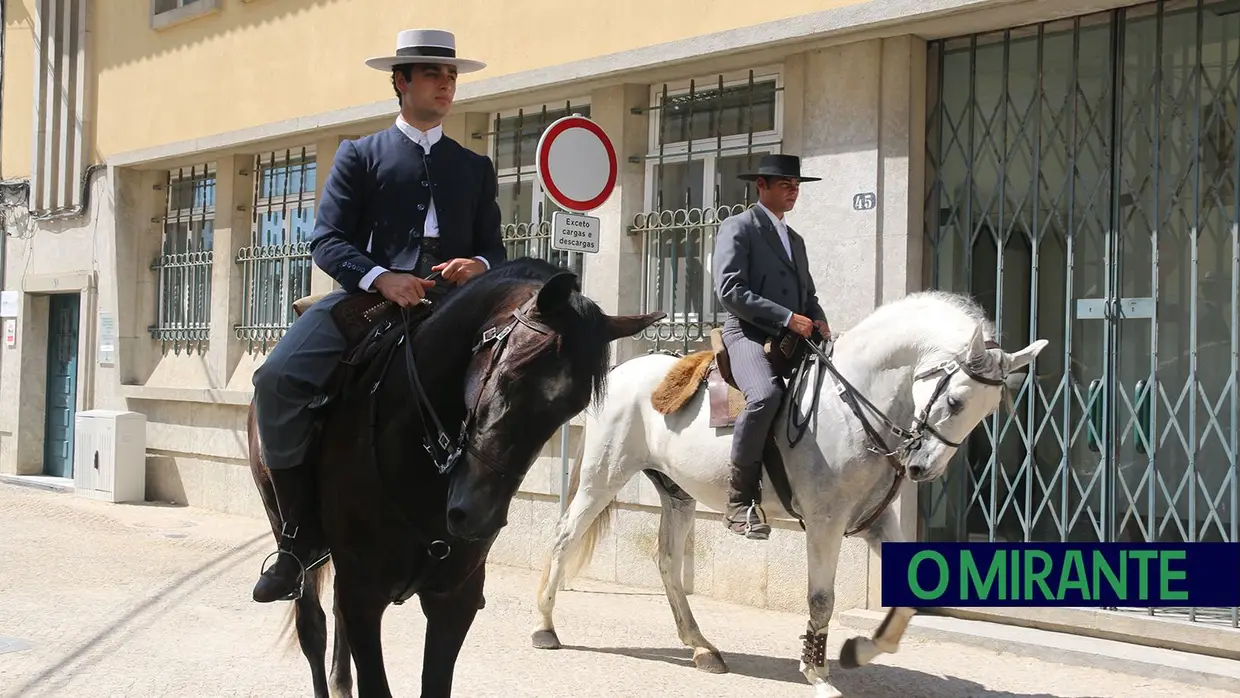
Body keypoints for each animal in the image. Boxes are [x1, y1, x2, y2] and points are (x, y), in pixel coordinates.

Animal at [245, 259, 664, 694]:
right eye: (510, 378)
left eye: (572, 407)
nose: (476, 516)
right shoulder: (363, 593)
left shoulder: (454, 599)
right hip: (293, 537)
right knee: (312, 625)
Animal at [530, 287, 1046, 694]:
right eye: (955, 401)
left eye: (988, 411)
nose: (921, 468)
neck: (854, 403)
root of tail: (622, 372)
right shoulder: (824, 523)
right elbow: (821, 599)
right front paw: (816, 673)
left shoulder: (877, 521)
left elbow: (909, 595)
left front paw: (861, 650)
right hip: (603, 476)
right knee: (564, 536)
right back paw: (545, 627)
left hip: (677, 494)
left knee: (668, 565)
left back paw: (702, 648)